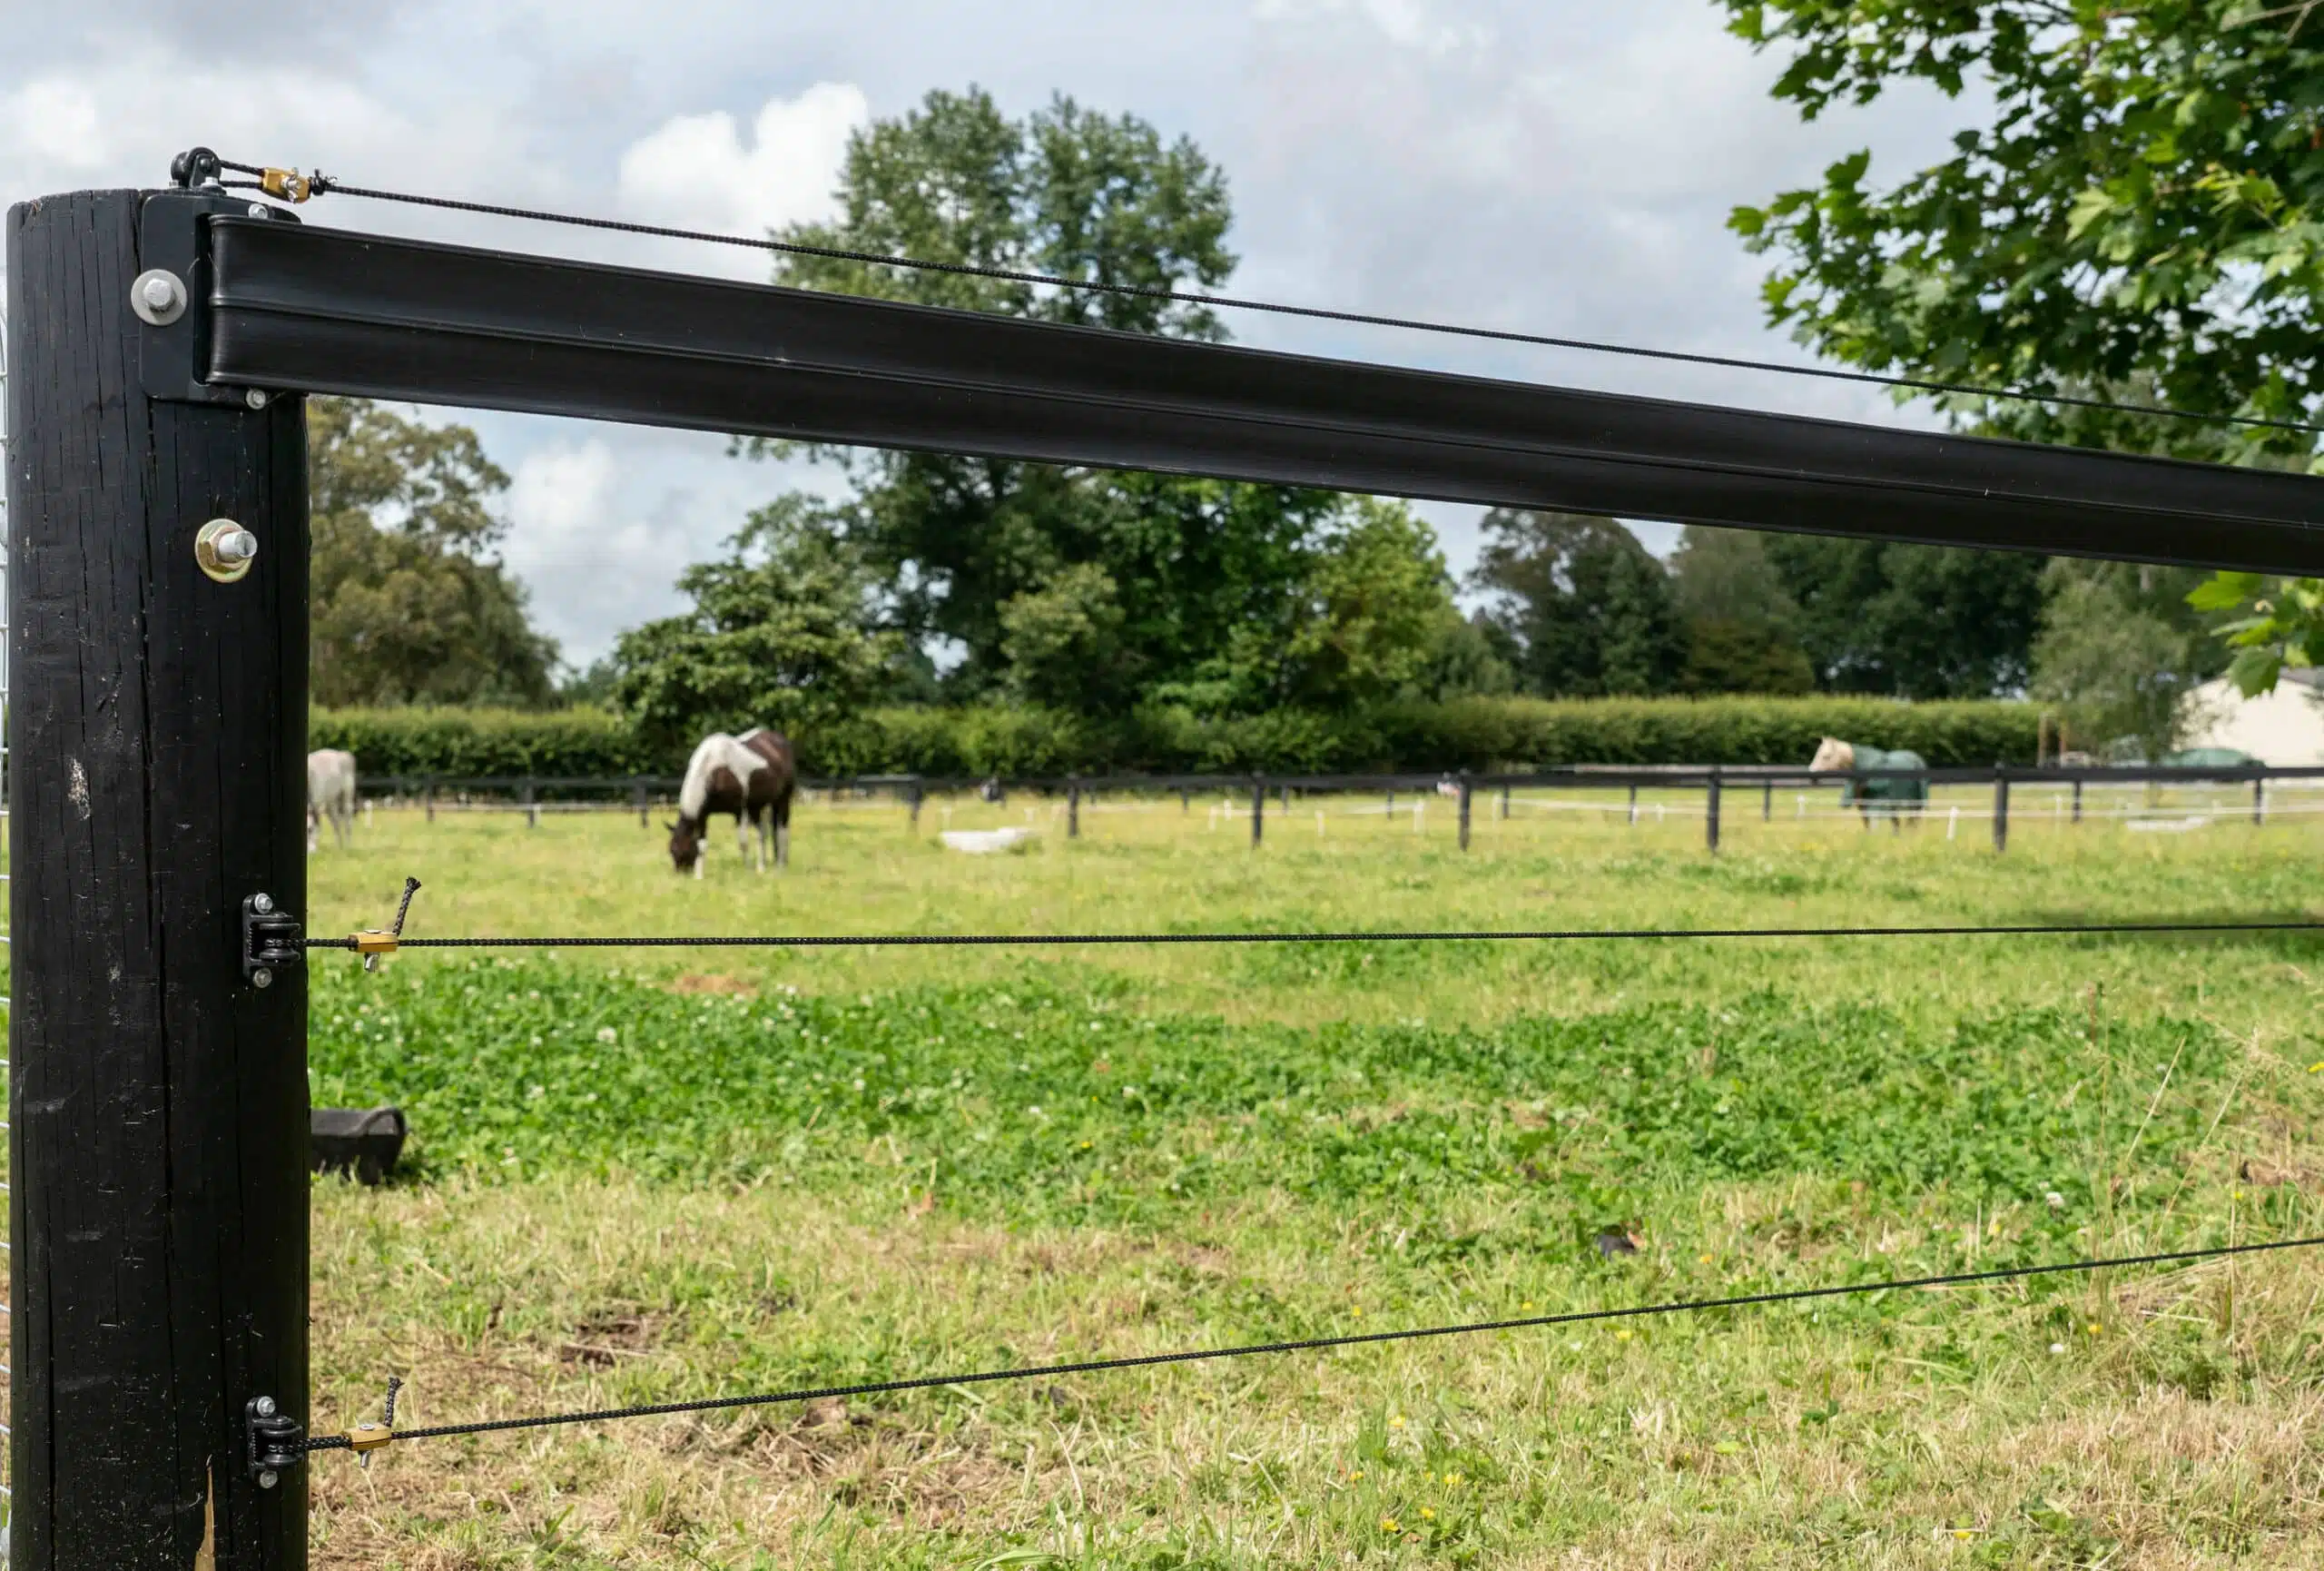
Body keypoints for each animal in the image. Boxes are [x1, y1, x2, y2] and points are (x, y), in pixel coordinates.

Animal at [669, 729, 794, 878]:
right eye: (672, 850)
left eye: (685, 850)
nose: (681, 875)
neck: (715, 771)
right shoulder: (703, 816)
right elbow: (702, 845)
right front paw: (699, 876)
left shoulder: (742, 810)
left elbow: (744, 842)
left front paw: (751, 869)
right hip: (763, 805)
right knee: (765, 832)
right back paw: (766, 863)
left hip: (783, 800)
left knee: (782, 830)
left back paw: (780, 864)